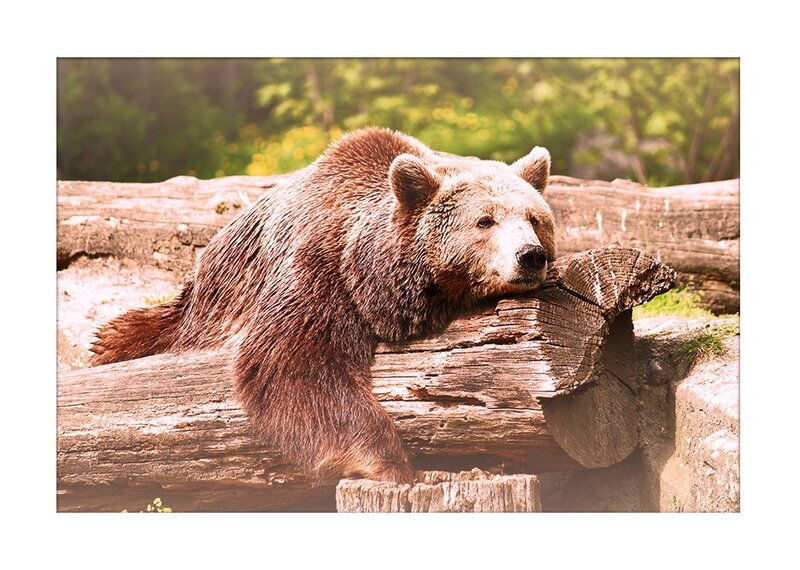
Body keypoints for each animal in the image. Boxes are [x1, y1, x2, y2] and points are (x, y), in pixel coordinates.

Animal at [90, 128, 556, 484]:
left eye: (534, 218)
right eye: (485, 221)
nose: (530, 255)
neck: (376, 276)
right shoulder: (319, 271)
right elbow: (293, 361)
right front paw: (392, 463)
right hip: (192, 316)